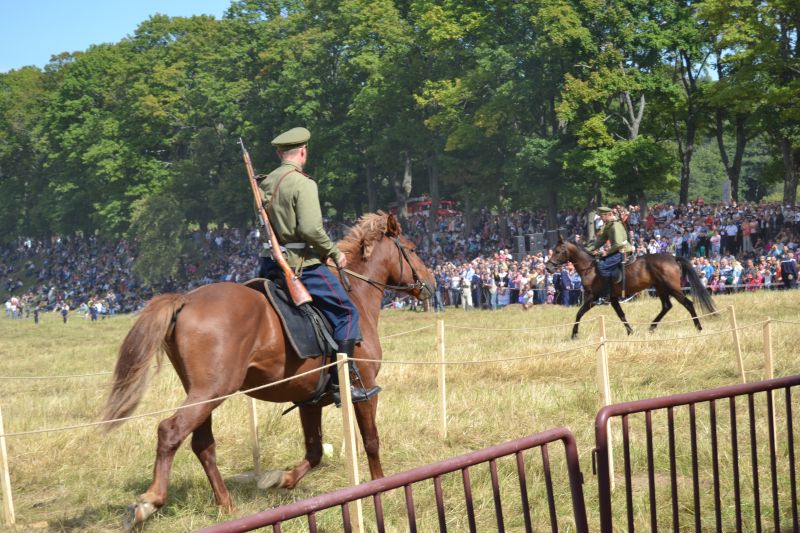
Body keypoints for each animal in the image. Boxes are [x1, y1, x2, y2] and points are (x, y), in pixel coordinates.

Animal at [104, 212, 434, 528]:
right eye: (412, 249)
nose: (431, 283)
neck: (356, 297)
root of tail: (186, 300)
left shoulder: (309, 400)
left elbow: (314, 451)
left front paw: (281, 479)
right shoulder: (364, 390)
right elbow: (370, 440)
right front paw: (381, 486)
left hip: (203, 394)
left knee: (202, 445)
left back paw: (226, 504)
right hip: (211, 391)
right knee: (170, 431)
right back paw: (150, 502)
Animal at [548, 238, 716, 338]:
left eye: (558, 251)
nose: (549, 268)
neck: (590, 268)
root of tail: (673, 258)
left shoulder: (593, 297)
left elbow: (579, 314)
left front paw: (574, 334)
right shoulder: (613, 298)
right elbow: (621, 315)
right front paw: (630, 332)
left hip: (672, 289)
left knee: (688, 304)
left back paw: (698, 327)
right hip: (661, 288)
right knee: (666, 306)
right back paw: (651, 327)